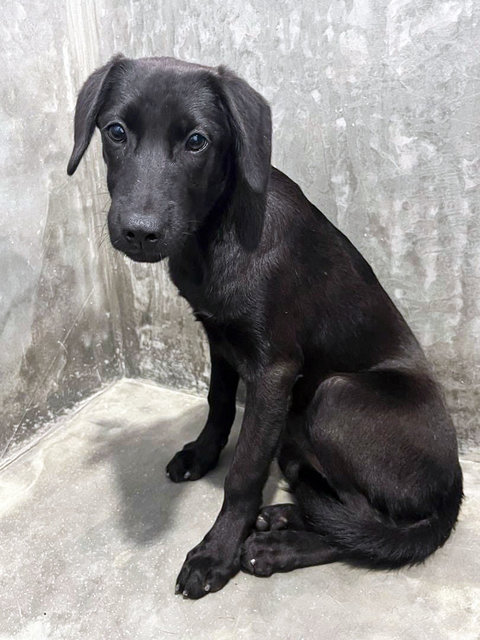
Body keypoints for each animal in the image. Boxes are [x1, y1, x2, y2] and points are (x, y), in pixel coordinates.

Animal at [66, 56, 462, 600]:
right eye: (116, 132)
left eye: (197, 141)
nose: (139, 232)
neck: (214, 235)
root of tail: (454, 486)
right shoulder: (218, 338)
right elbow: (217, 404)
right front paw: (201, 455)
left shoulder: (274, 370)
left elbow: (246, 470)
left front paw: (216, 552)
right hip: (298, 434)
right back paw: (284, 518)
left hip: (334, 397)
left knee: (367, 525)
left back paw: (280, 547)